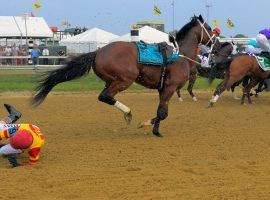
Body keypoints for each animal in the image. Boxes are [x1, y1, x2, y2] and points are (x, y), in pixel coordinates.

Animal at [31, 14, 213, 137]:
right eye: (210, 29)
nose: (215, 39)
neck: (180, 55)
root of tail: (98, 52)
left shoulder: (163, 89)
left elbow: (162, 111)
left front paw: (152, 128)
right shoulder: (170, 87)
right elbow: (162, 113)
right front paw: (148, 126)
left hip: (111, 80)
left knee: (104, 96)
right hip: (125, 79)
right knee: (105, 96)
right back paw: (128, 113)